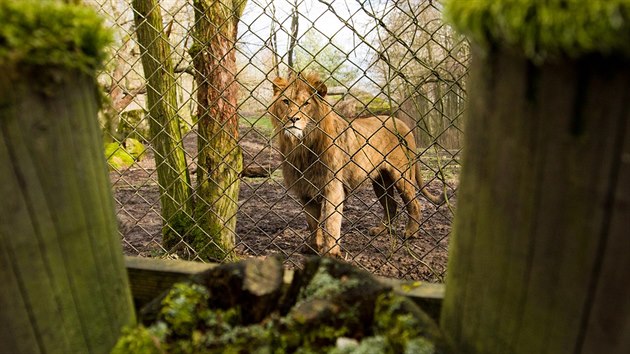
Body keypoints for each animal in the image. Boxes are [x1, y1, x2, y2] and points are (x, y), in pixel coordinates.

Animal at [270, 72, 446, 258]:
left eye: (306, 104)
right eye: (286, 101)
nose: (293, 119)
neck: (302, 146)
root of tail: (403, 124)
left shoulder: (333, 187)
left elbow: (331, 222)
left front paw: (331, 253)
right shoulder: (305, 190)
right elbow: (313, 223)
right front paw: (313, 247)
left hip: (402, 175)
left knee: (414, 203)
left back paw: (411, 232)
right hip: (380, 181)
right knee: (391, 205)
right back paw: (381, 230)